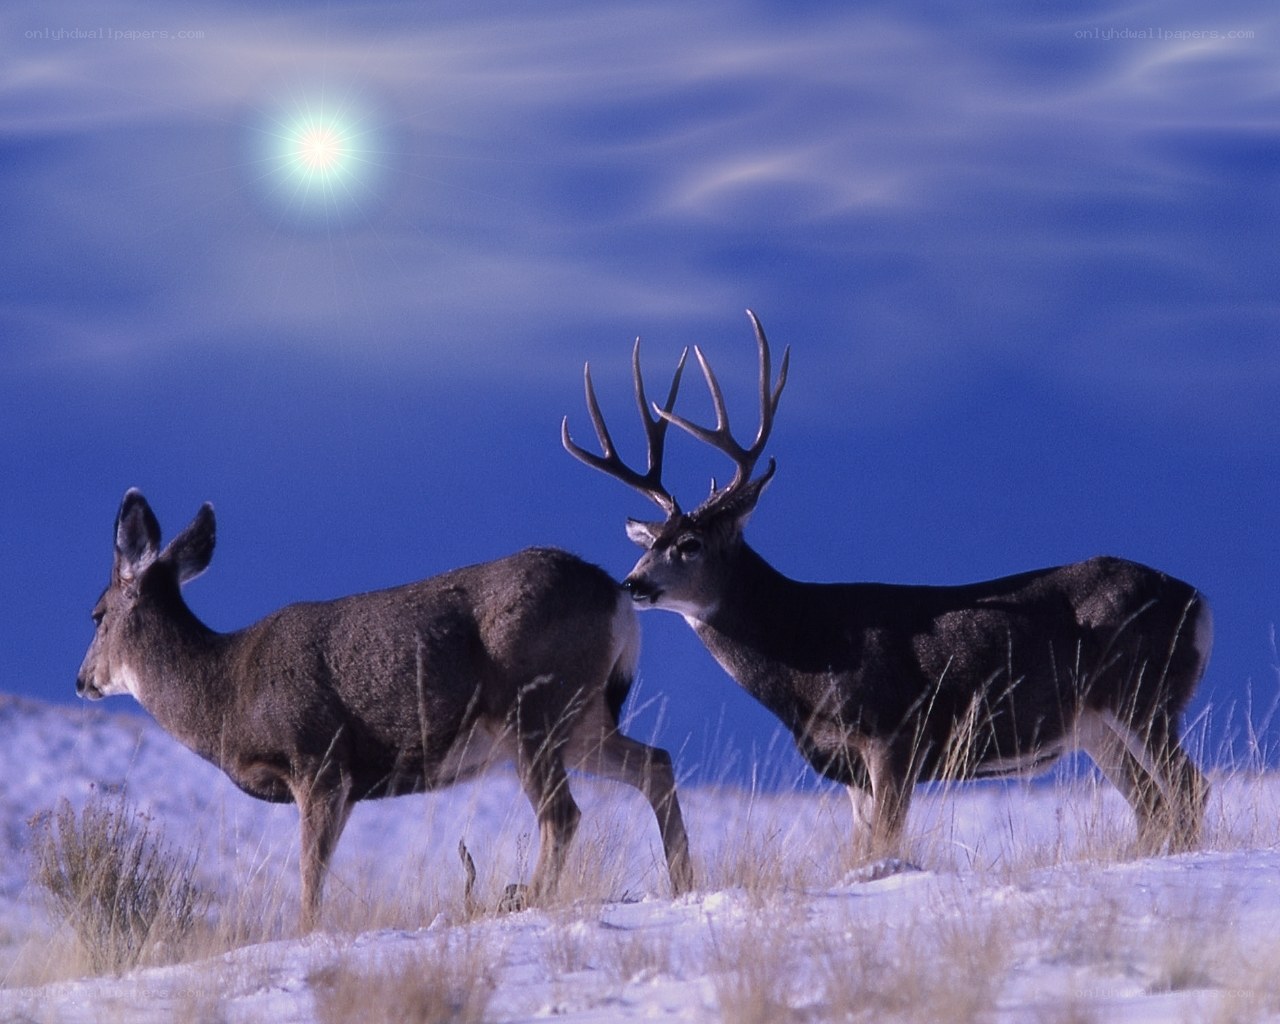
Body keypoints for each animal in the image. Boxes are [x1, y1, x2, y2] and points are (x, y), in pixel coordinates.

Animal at [77, 489, 694, 930]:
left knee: (562, 812)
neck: (228, 693)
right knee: (655, 762)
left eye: (97, 613)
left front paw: (306, 934)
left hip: (534, 709)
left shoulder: (319, 758)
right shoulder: (346, 783)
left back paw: (525, 898)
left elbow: (311, 873)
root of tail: (617, 596)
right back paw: (684, 882)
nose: (82, 680)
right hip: (583, 719)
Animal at [563, 311, 1212, 862]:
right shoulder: (849, 767)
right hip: (1099, 724)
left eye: (690, 544)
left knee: (1189, 790)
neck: (807, 648)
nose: (633, 583)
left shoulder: (894, 735)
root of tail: (1198, 599)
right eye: (648, 543)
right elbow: (862, 845)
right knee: (1153, 805)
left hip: (1142, 696)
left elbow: (884, 843)